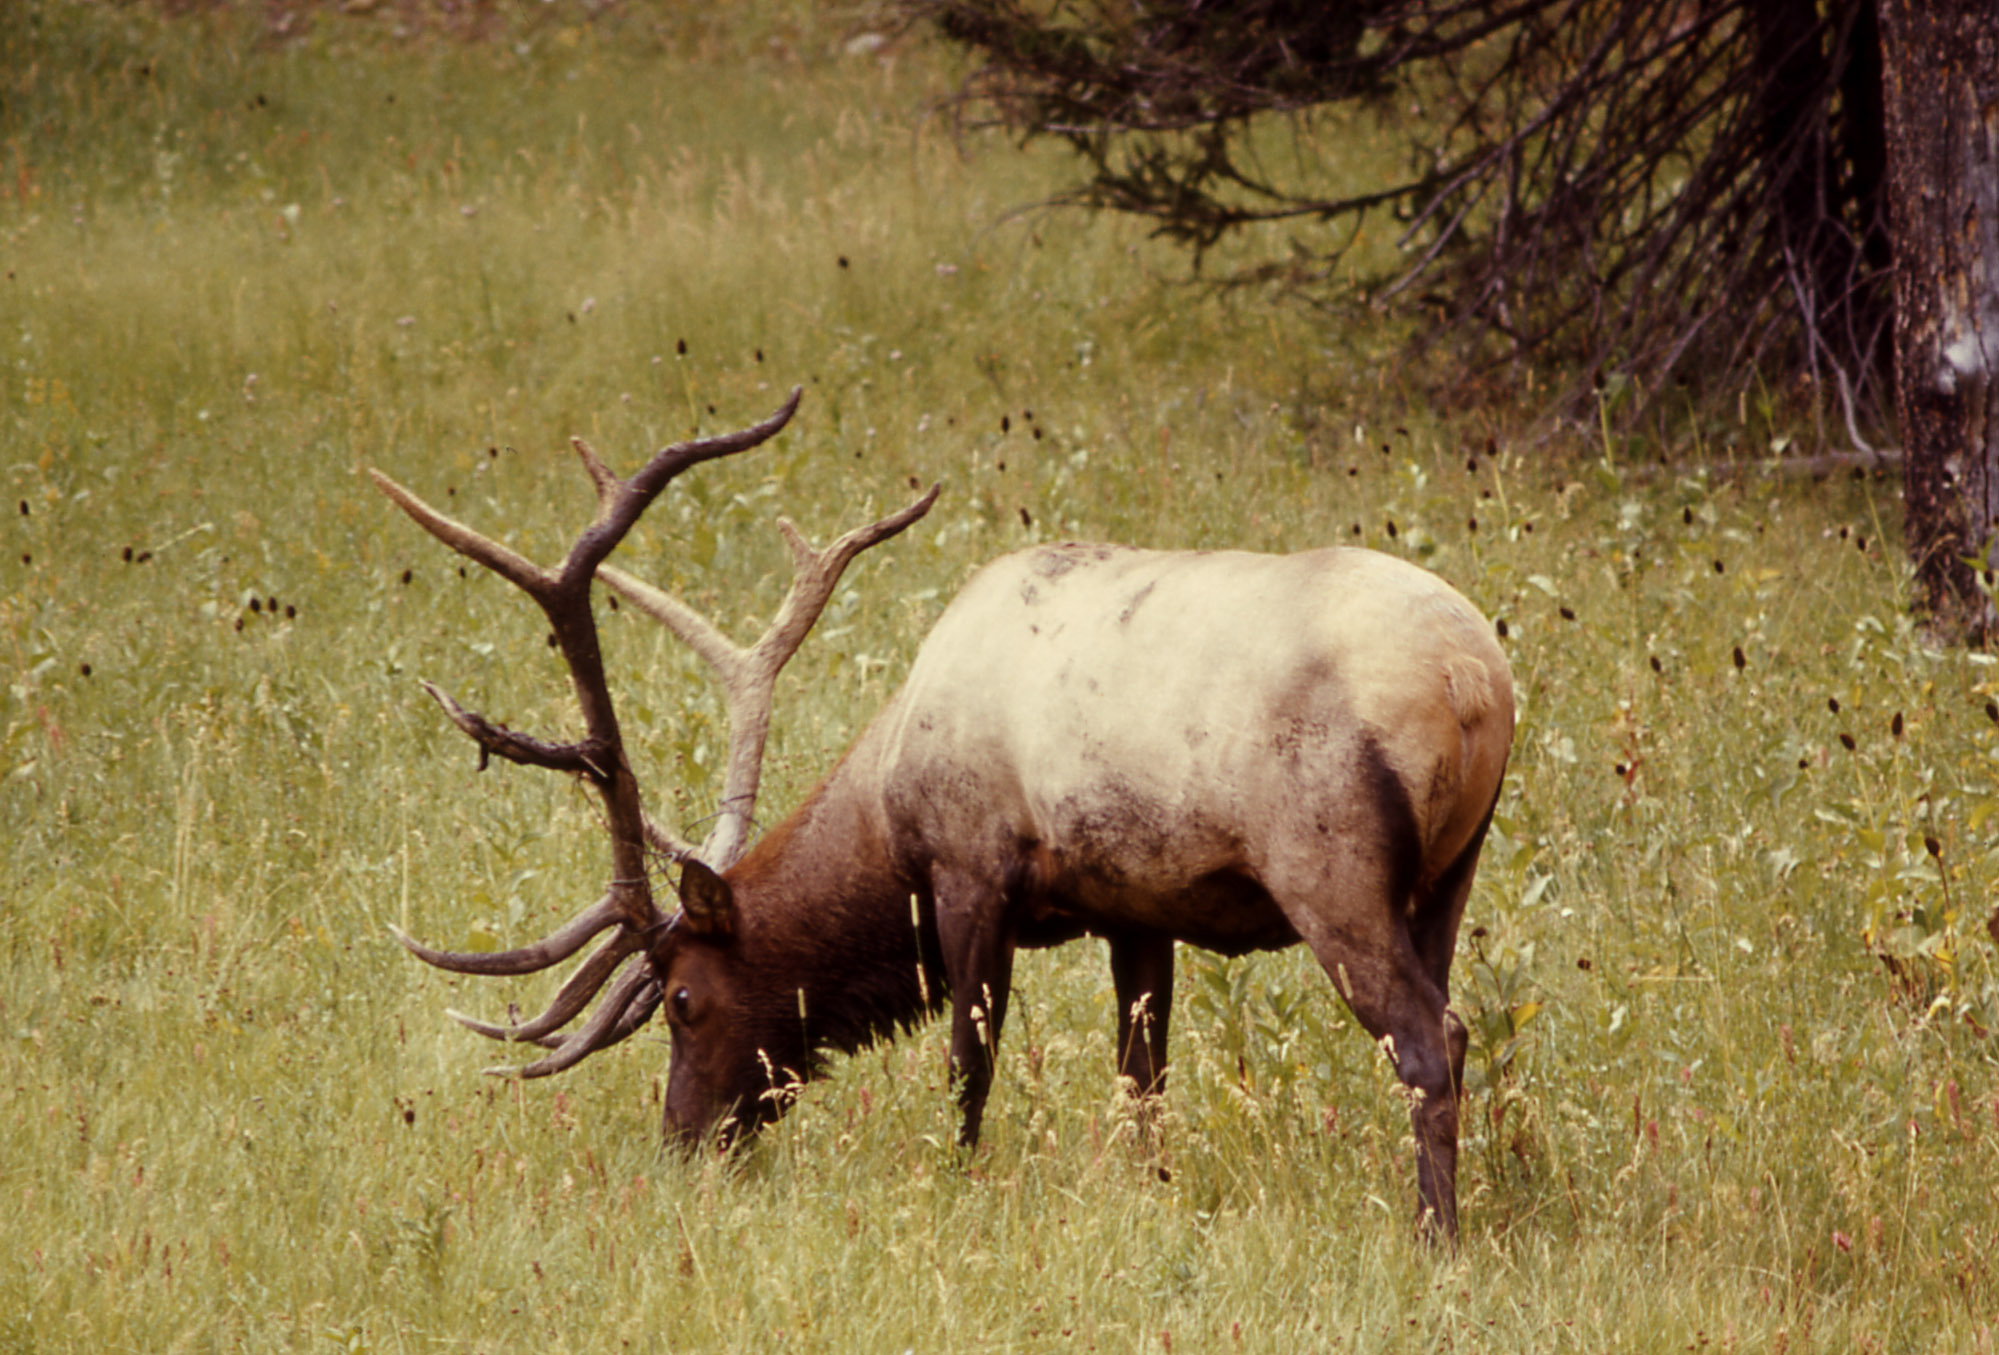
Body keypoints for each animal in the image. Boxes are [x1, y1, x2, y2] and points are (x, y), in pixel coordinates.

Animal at [371, 387, 1511, 1247]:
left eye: (683, 999)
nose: (683, 1143)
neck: (887, 808)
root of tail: (1473, 681)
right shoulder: (1135, 904)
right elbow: (1141, 1077)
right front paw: (1148, 1191)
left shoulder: (971, 871)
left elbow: (970, 1057)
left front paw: (954, 1184)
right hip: (1449, 876)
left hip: (1330, 868)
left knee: (1429, 1037)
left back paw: (1434, 1236)